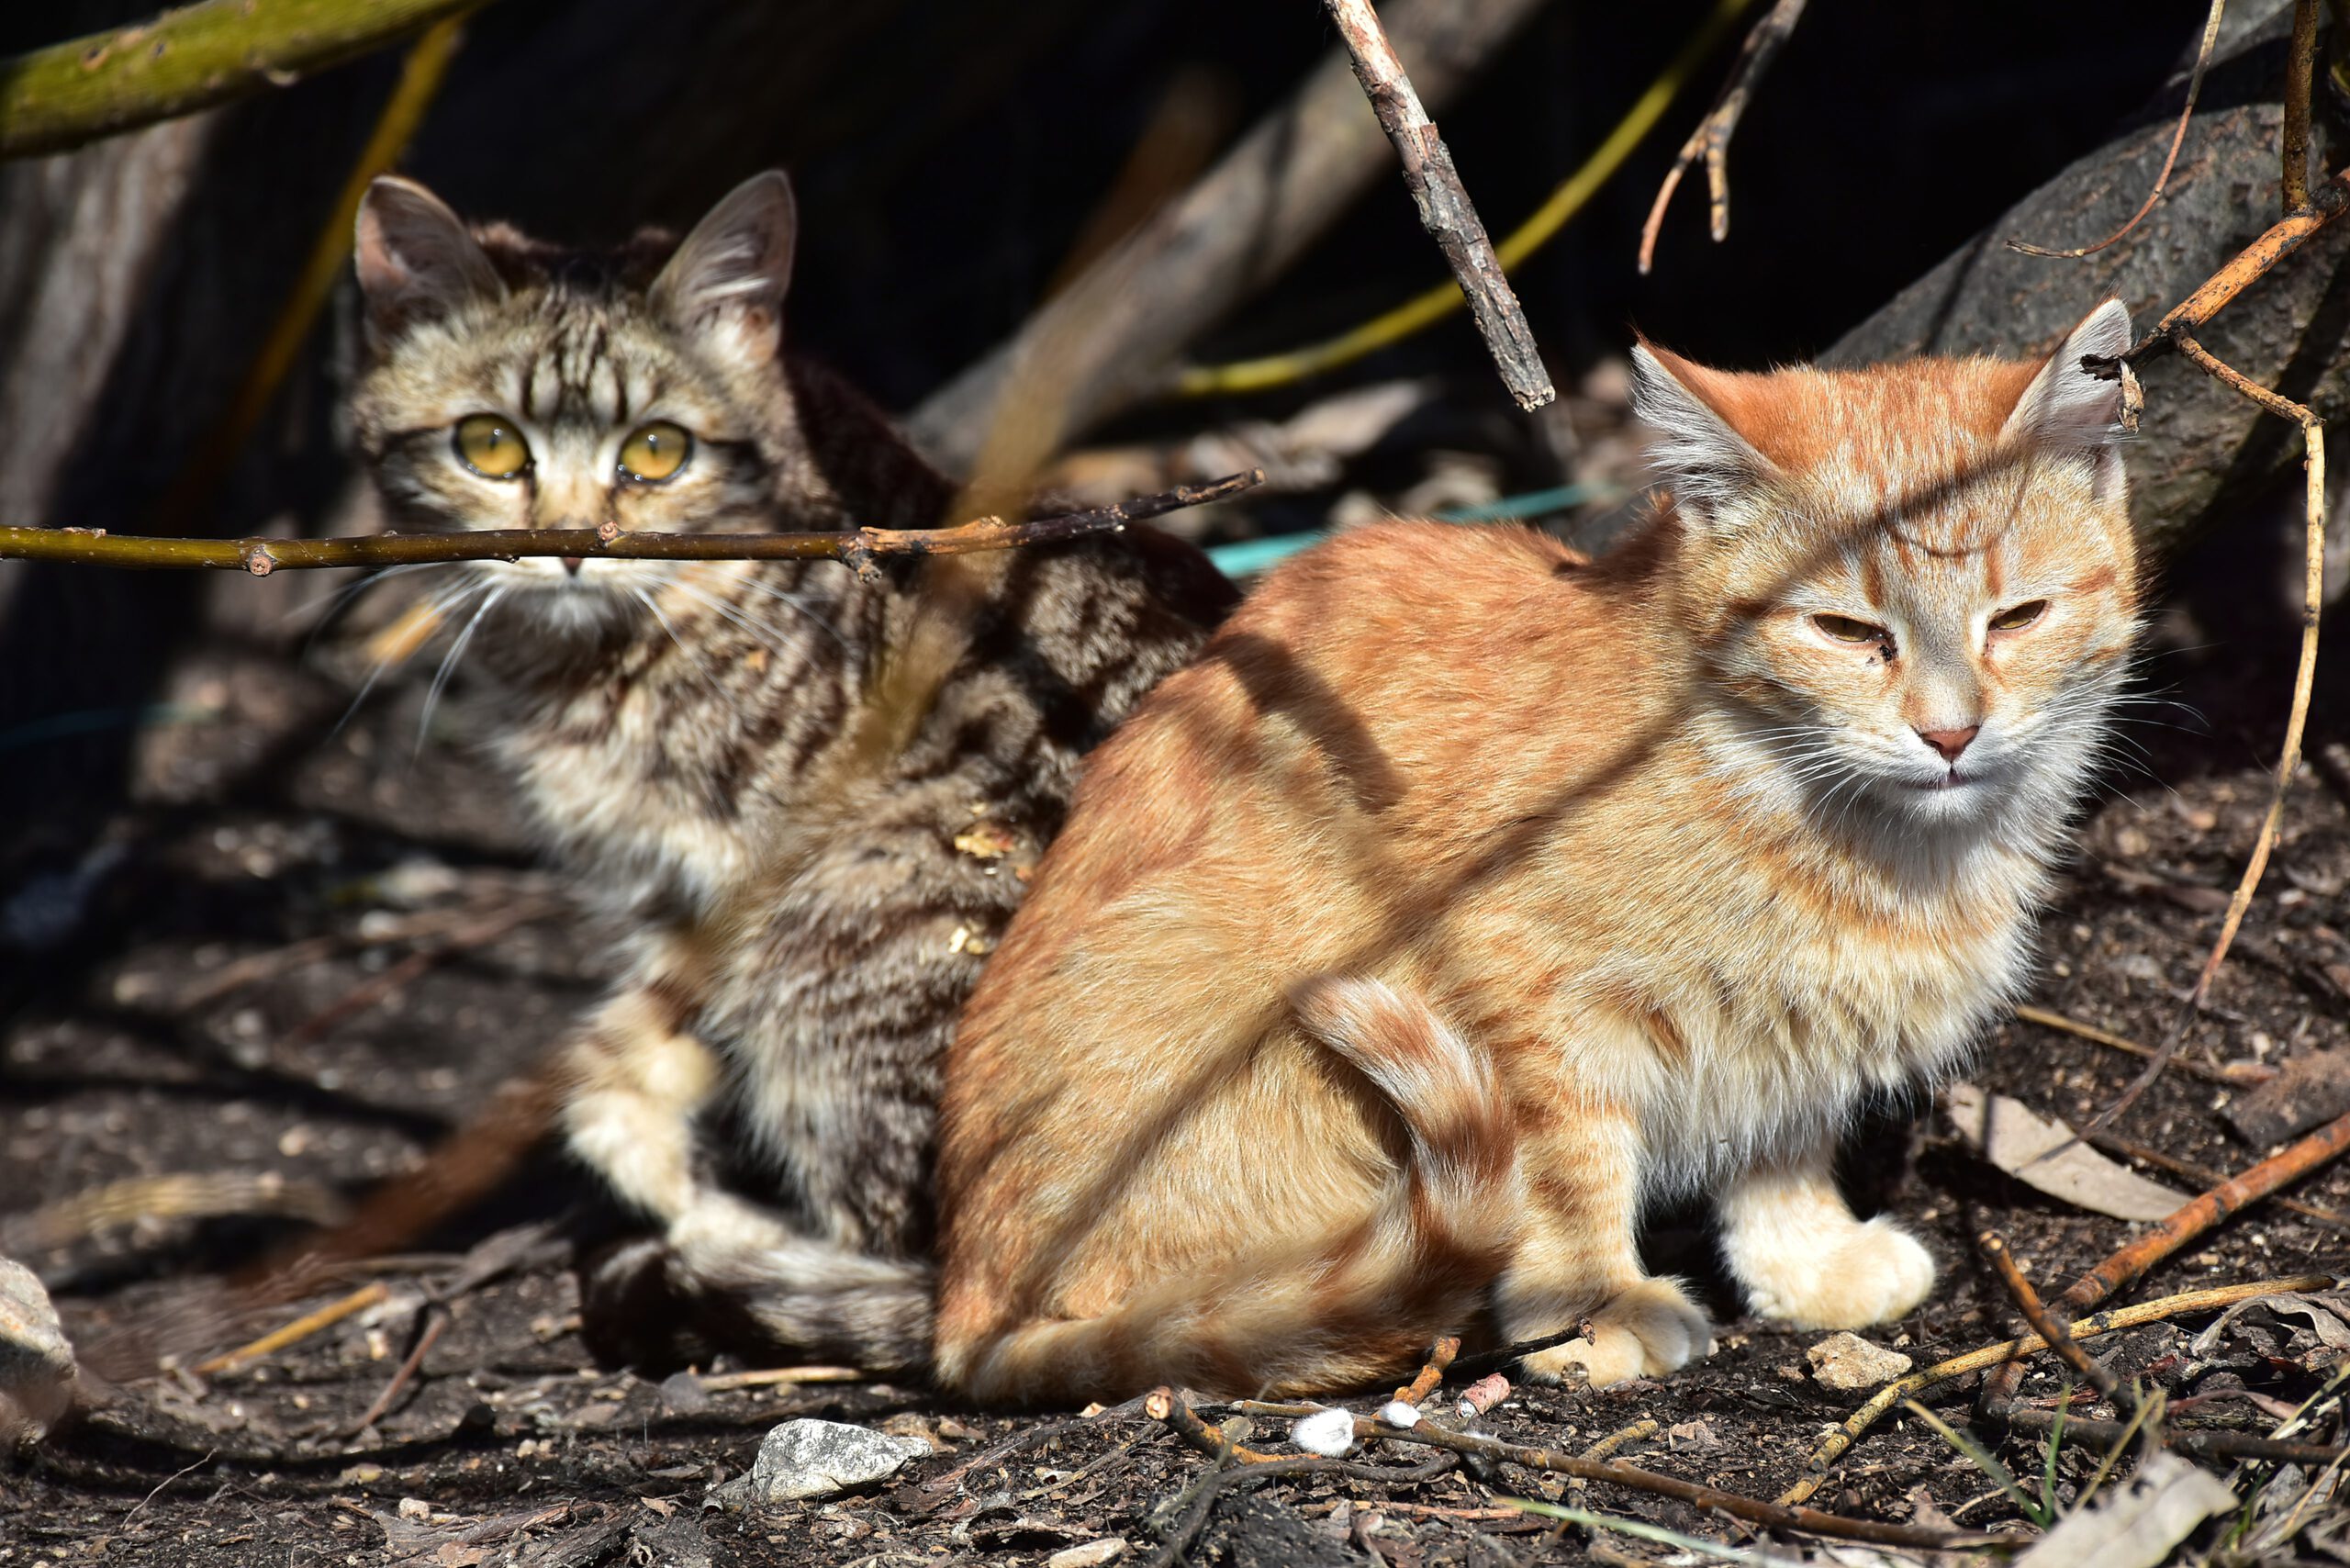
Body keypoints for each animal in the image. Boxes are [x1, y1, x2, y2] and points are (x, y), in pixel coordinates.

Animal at [352, 171, 1231, 1363]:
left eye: (657, 451)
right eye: (487, 446)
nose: (572, 541)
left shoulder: (724, 869)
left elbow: (658, 1027)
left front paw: (641, 1152)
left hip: (843, 922)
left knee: (923, 1271)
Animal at [925, 300, 2143, 1401]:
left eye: (2017, 617)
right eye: (1847, 631)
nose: (1950, 732)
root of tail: (959, 1310)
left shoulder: (1790, 1038)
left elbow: (1779, 1147)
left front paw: (1805, 1262)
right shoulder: (1517, 992)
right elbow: (1565, 1164)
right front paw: (1592, 1306)